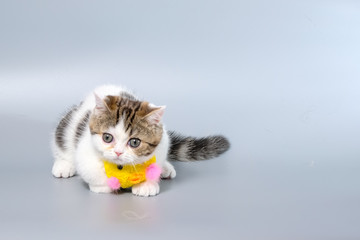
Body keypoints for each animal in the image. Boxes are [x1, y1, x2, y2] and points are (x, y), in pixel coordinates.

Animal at [51, 85, 229, 196]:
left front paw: (146, 185)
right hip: (66, 125)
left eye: (134, 142)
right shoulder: (85, 152)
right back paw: (64, 165)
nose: (118, 152)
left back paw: (166, 168)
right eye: (107, 137)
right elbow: (91, 171)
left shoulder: (162, 143)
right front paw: (104, 186)